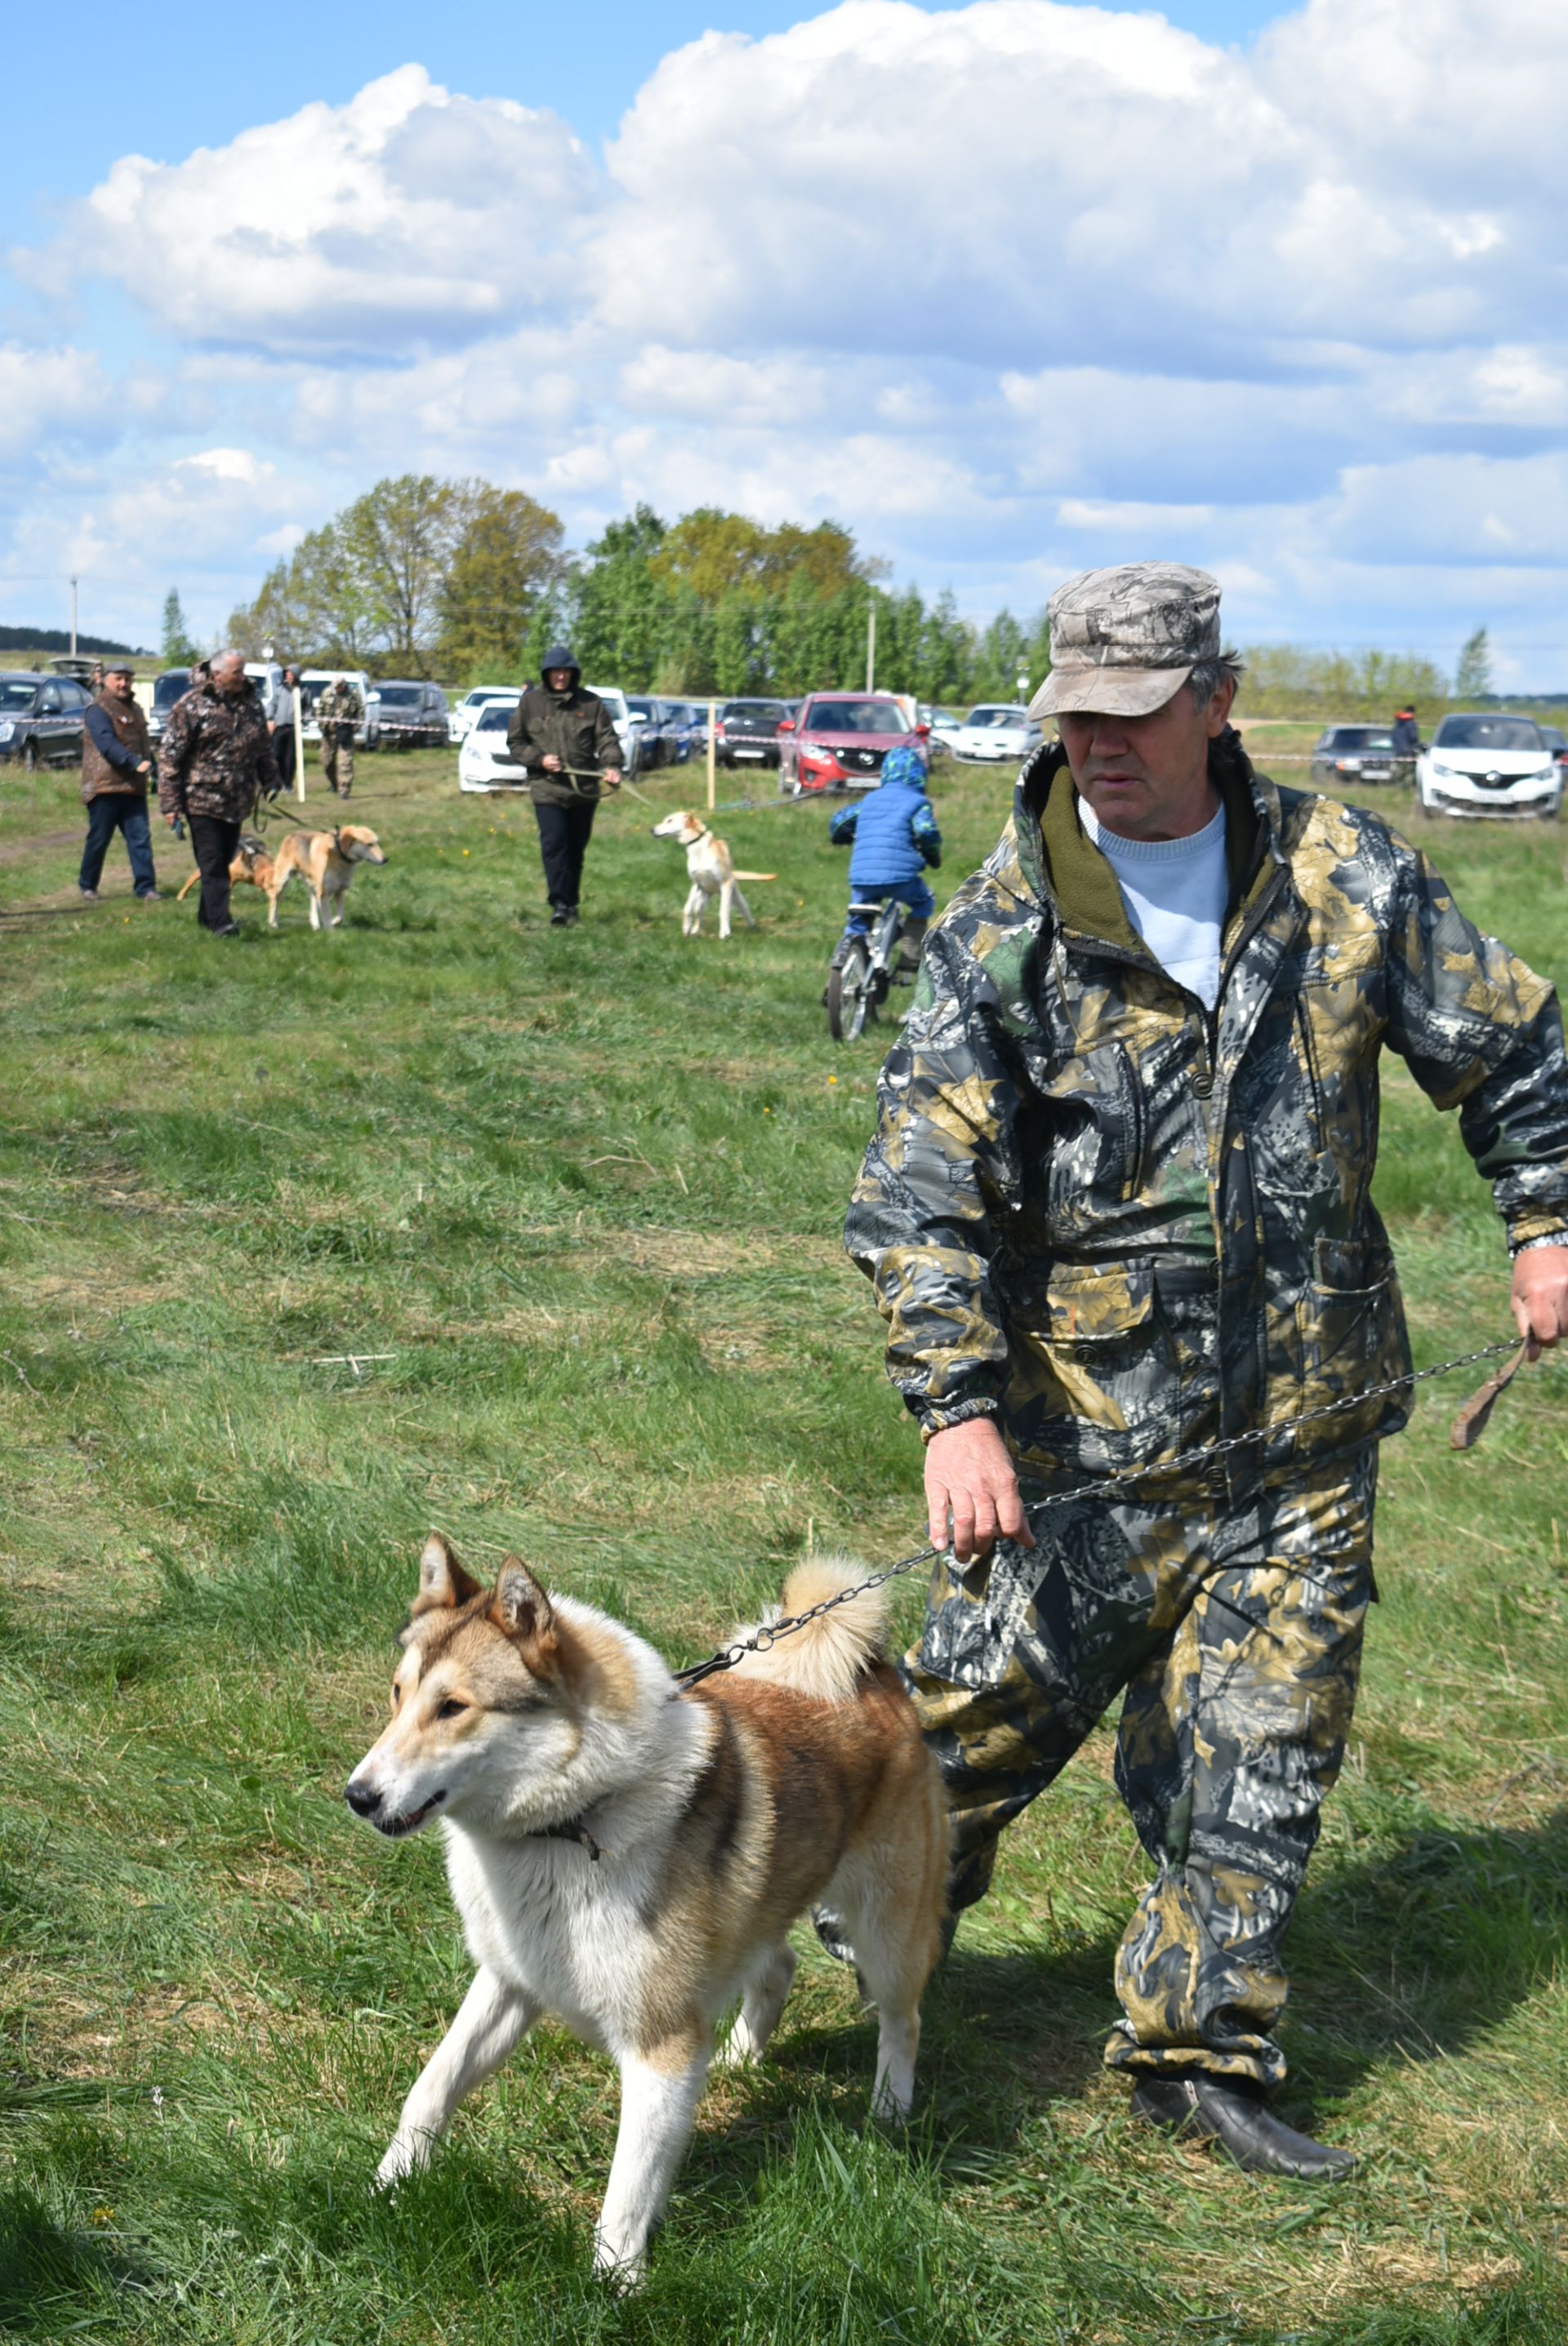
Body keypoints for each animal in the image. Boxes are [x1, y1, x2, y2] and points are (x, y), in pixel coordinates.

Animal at [262, 830, 384, 929]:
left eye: (377, 842)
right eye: (370, 844)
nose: (385, 859)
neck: (339, 854)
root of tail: (291, 835)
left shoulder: (339, 891)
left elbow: (340, 916)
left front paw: (334, 922)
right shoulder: (324, 893)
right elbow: (327, 916)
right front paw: (330, 932)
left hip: (313, 886)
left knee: (313, 903)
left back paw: (315, 924)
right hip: (282, 882)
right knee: (274, 899)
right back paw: (273, 923)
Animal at [349, 1529, 947, 2280]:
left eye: (453, 1707)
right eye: (397, 1694)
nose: (358, 1796)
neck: (571, 1822)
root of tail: (878, 1677)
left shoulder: (661, 2044)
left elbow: (629, 2185)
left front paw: (616, 2286)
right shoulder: (510, 1982)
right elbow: (431, 2087)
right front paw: (386, 2188)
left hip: (885, 1931)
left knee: (904, 2020)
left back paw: (890, 2112)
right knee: (778, 1966)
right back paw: (741, 2059)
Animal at [647, 811, 773, 938]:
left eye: (670, 821)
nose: (651, 830)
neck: (697, 849)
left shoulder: (725, 884)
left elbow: (723, 911)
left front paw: (724, 933)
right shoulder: (696, 884)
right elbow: (687, 909)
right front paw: (686, 929)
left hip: (736, 897)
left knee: (745, 911)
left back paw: (753, 928)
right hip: (703, 897)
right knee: (698, 912)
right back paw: (695, 930)